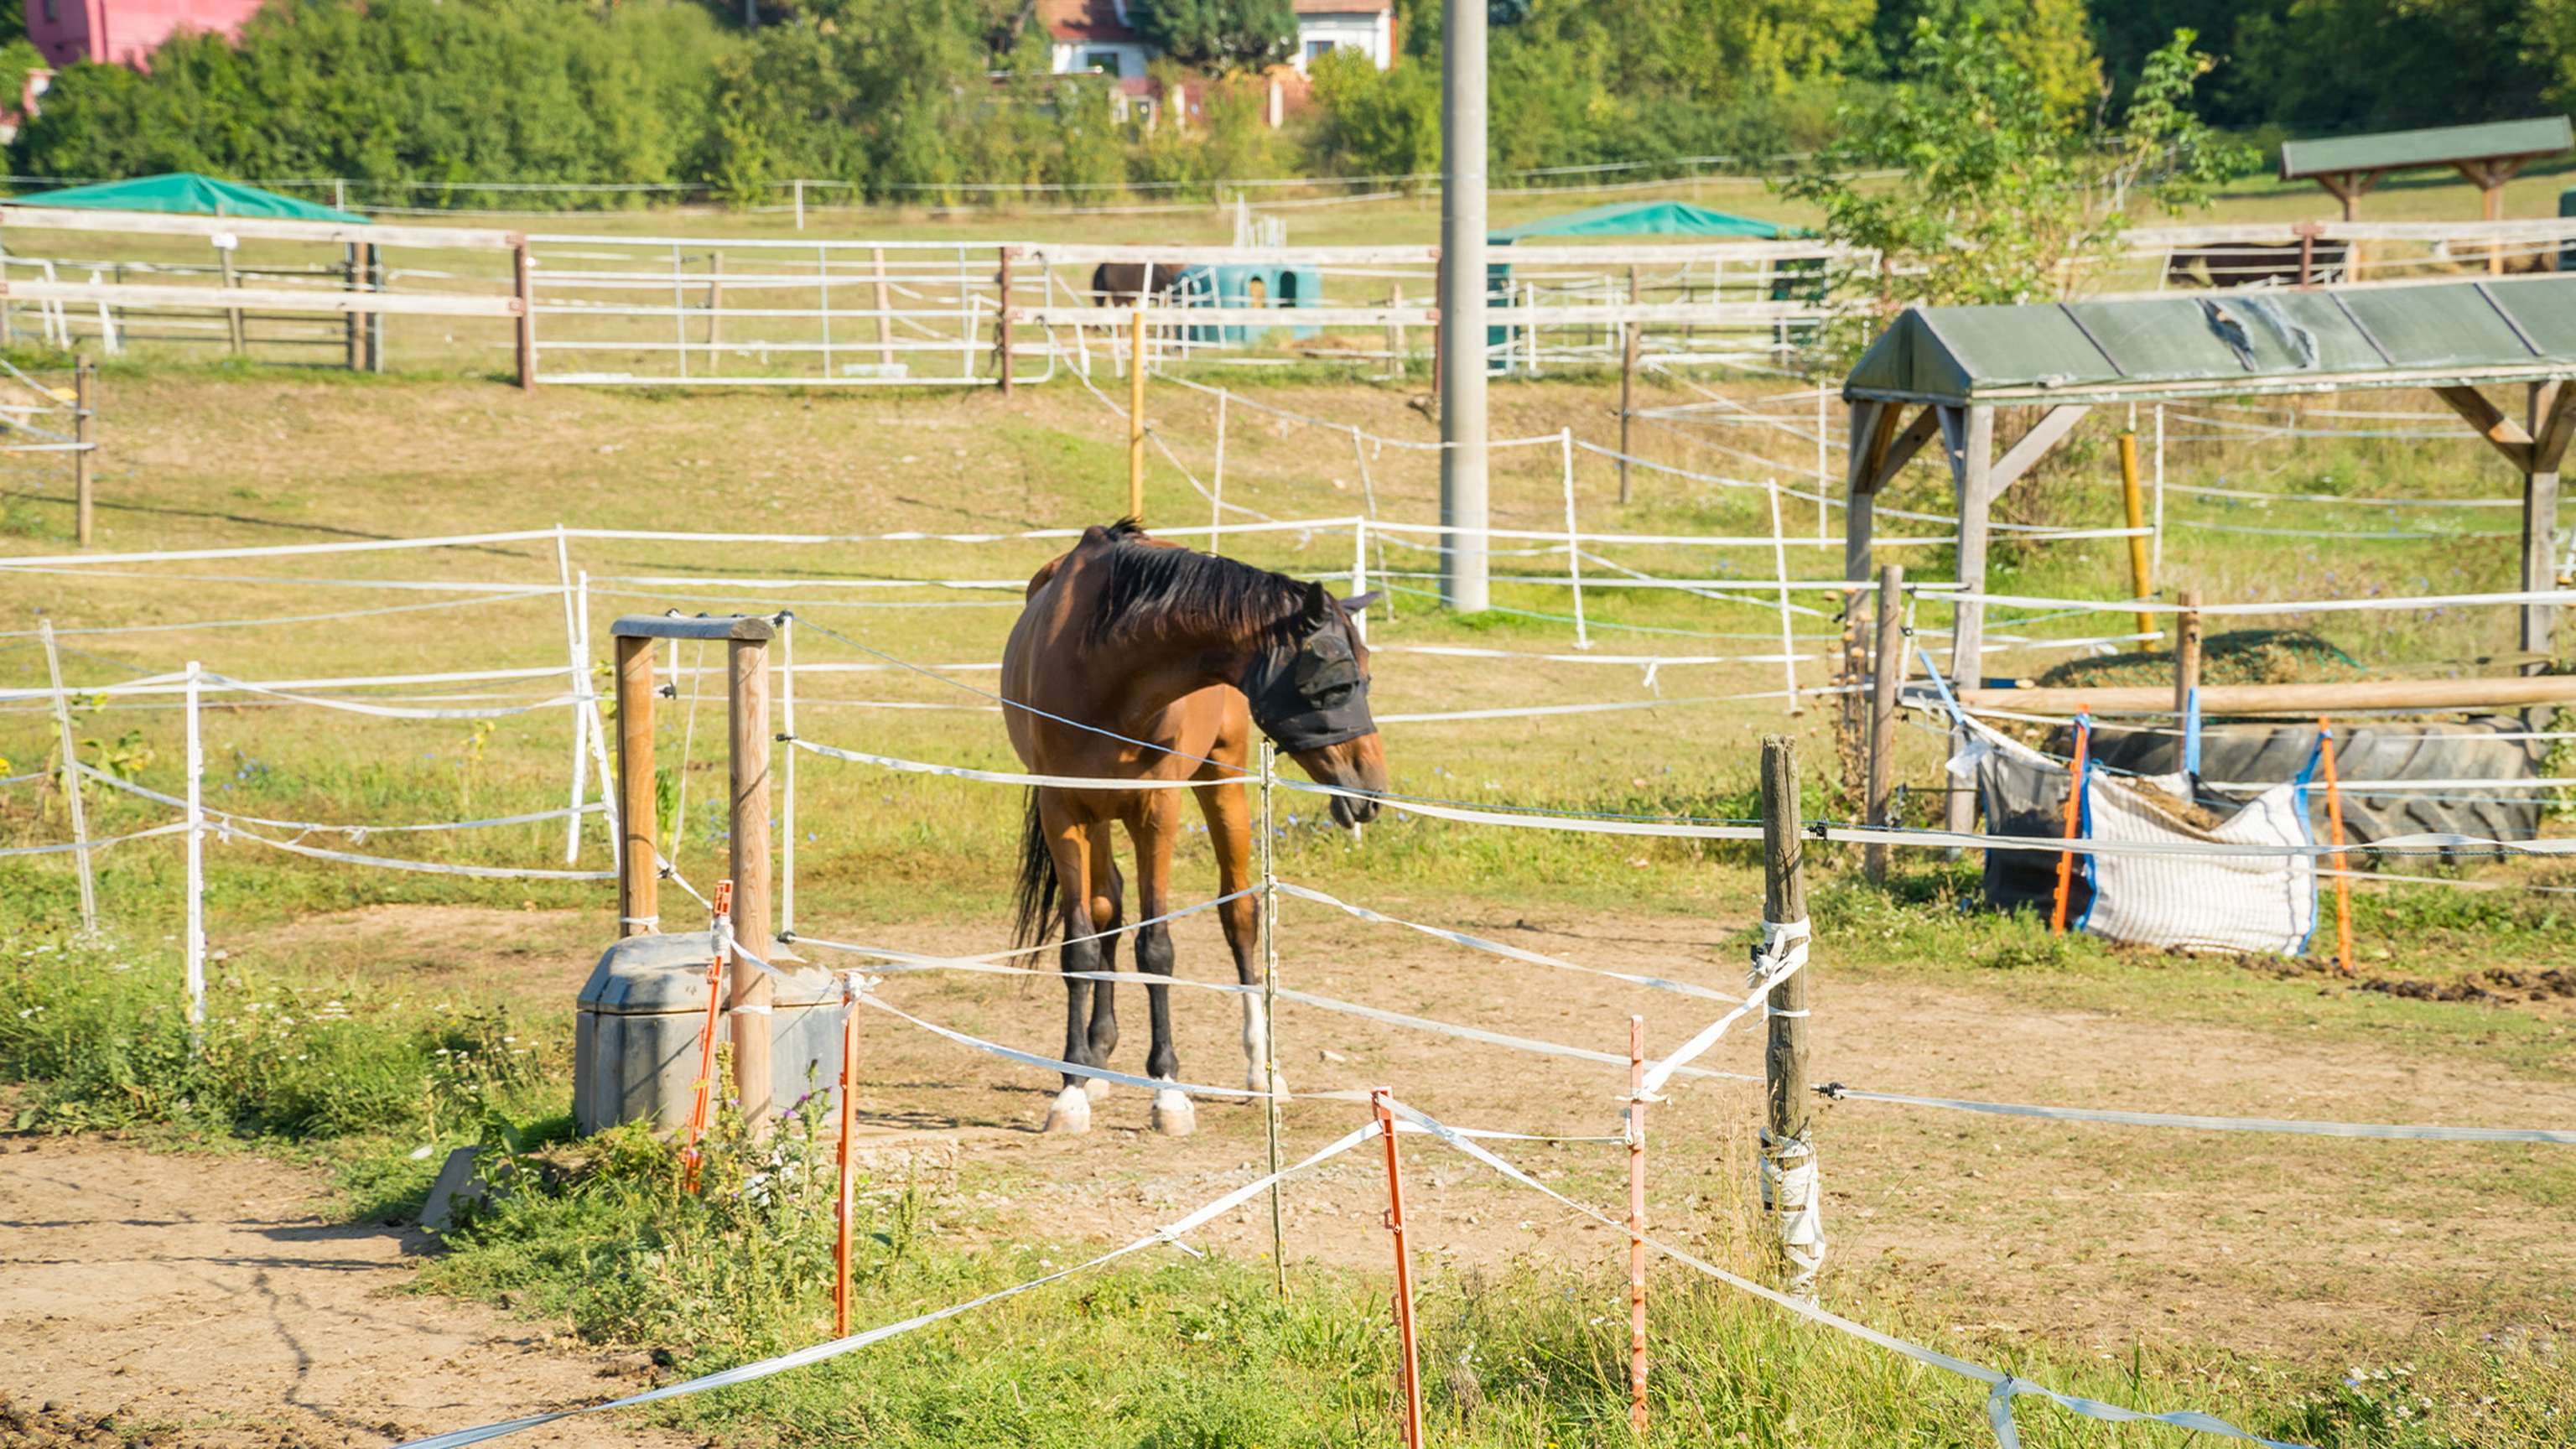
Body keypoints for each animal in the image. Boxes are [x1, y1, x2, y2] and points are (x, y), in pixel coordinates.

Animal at [1001, 520, 1386, 1137]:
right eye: (1334, 685)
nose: (1370, 791)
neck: (1105, 671)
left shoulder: (1157, 811)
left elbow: (1157, 950)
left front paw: (1168, 1091)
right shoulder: (1065, 810)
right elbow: (1082, 946)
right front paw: (1073, 1088)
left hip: (1220, 781)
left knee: (1240, 913)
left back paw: (1260, 1070)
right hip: (1099, 819)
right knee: (1108, 906)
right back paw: (1099, 1060)